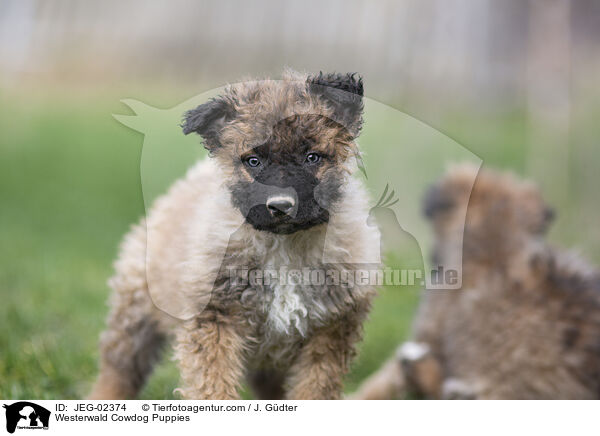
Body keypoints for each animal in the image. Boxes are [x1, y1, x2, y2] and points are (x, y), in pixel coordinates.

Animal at [88, 70, 380, 400]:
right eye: (253, 161)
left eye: (312, 157)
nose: (280, 206)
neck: (284, 248)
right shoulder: (215, 319)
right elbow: (213, 387)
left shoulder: (332, 330)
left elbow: (315, 389)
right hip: (136, 313)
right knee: (119, 369)